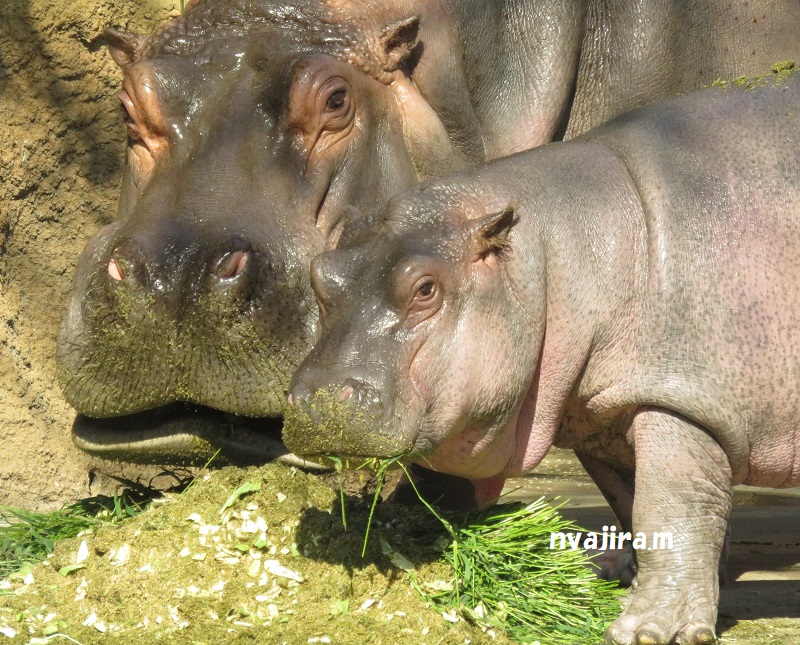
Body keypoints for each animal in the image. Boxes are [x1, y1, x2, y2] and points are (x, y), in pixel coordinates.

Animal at [288, 73, 800, 640]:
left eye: (425, 288)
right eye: (322, 273)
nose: (318, 399)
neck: (557, 256)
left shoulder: (681, 398)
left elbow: (670, 508)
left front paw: (645, 629)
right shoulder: (602, 412)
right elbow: (632, 503)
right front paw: (620, 578)